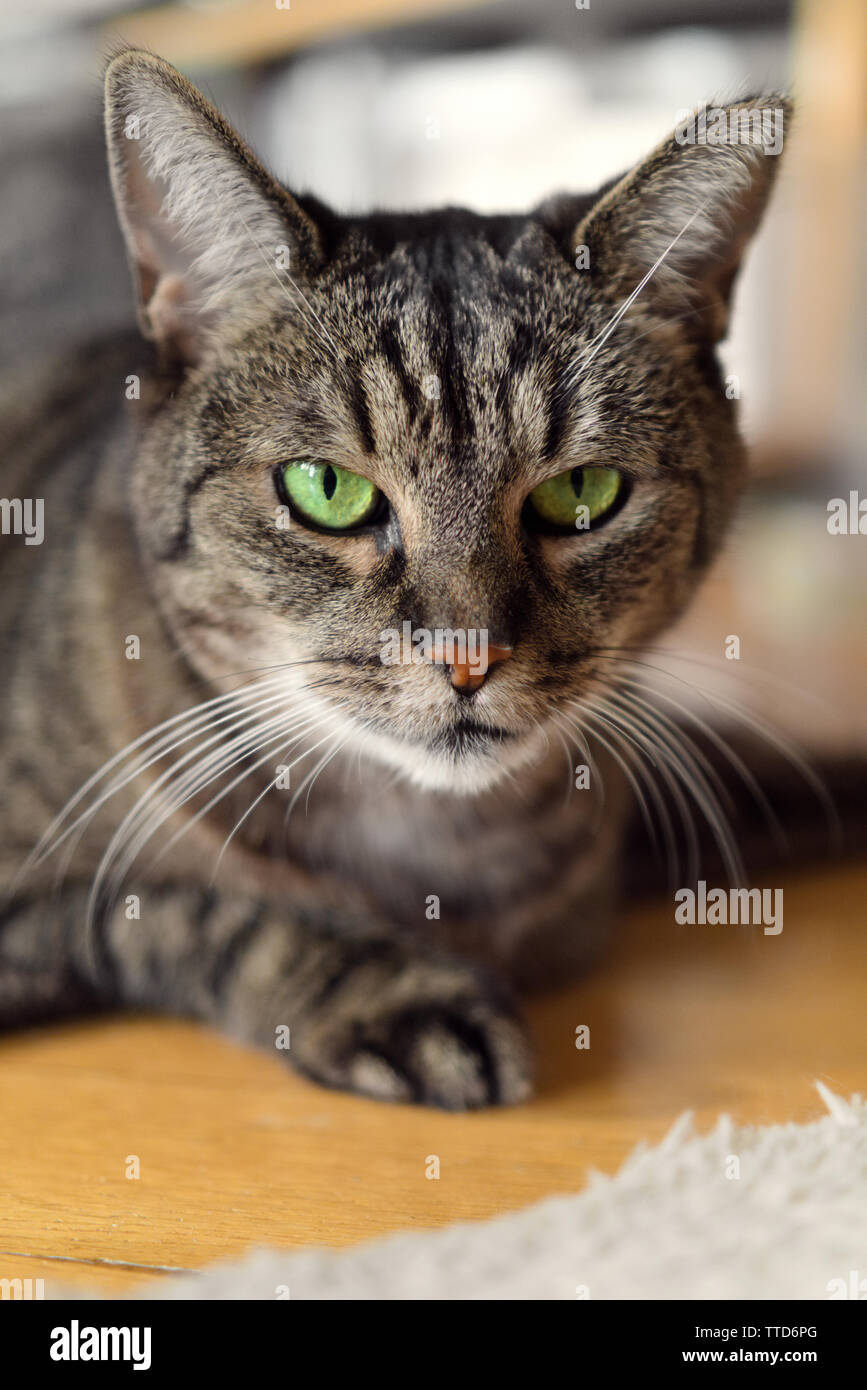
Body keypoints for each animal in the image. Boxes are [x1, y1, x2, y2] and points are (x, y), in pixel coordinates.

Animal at [0, 54, 783, 1106]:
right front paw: (400, 993)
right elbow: (183, 907)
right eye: (326, 490)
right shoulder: (46, 910)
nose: (467, 657)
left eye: (582, 492)